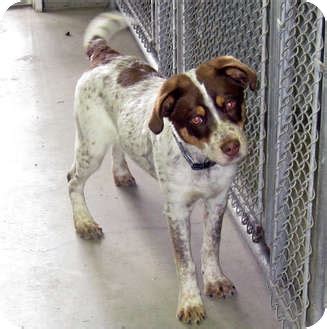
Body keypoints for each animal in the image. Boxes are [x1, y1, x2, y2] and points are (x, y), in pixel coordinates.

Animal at [66, 12, 256, 322]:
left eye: (230, 103)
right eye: (196, 119)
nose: (232, 147)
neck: (201, 165)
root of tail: (105, 55)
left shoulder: (218, 200)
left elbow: (210, 246)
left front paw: (215, 280)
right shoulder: (176, 210)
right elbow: (185, 261)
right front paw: (191, 302)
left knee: (119, 146)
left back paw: (122, 174)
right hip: (90, 147)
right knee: (73, 180)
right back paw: (84, 223)